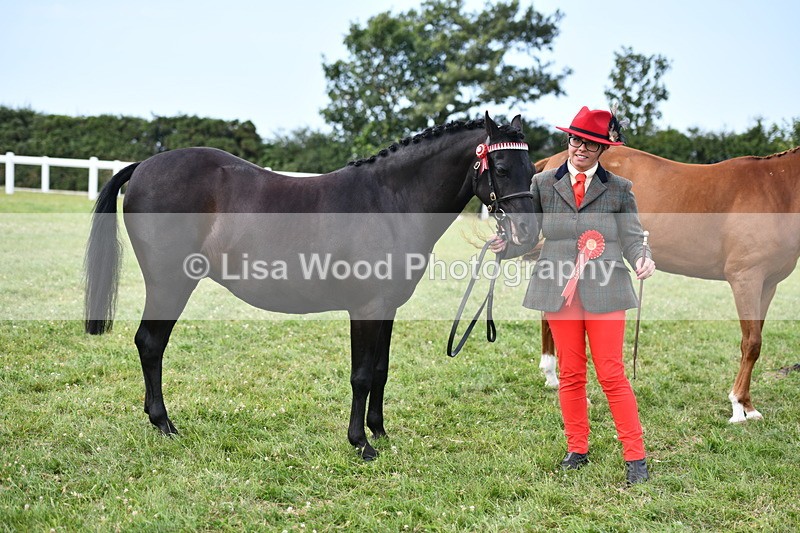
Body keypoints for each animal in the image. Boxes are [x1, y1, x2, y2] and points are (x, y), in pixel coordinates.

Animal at [84, 113, 538, 460]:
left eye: (531, 169)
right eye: (500, 169)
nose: (527, 233)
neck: (391, 201)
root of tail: (143, 166)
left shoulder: (387, 308)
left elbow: (381, 370)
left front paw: (380, 432)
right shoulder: (365, 308)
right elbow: (361, 375)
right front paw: (361, 444)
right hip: (170, 283)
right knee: (150, 343)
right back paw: (164, 424)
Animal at [531, 145, 800, 423]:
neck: (777, 191)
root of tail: (555, 160)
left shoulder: (768, 285)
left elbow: (754, 343)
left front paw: (748, 406)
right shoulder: (746, 279)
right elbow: (752, 342)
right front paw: (738, 406)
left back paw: (553, 377)